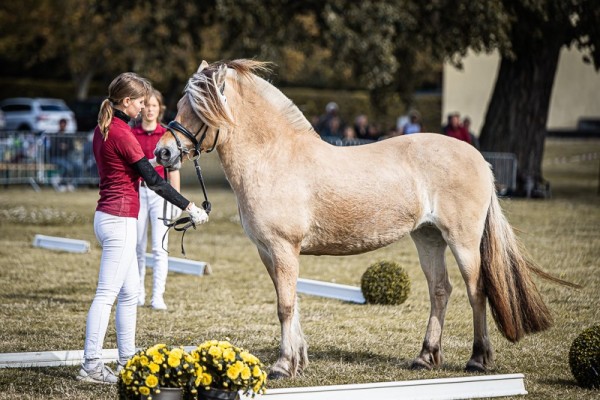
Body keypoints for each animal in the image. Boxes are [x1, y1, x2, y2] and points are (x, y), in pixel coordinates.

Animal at [152, 58, 576, 378]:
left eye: (198, 106)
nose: (163, 153)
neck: (275, 158)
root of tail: (479, 159)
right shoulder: (269, 252)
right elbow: (291, 301)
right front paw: (298, 360)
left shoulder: (283, 248)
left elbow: (285, 305)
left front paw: (283, 365)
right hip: (427, 237)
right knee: (440, 290)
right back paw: (425, 357)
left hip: (463, 240)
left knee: (477, 291)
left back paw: (477, 359)